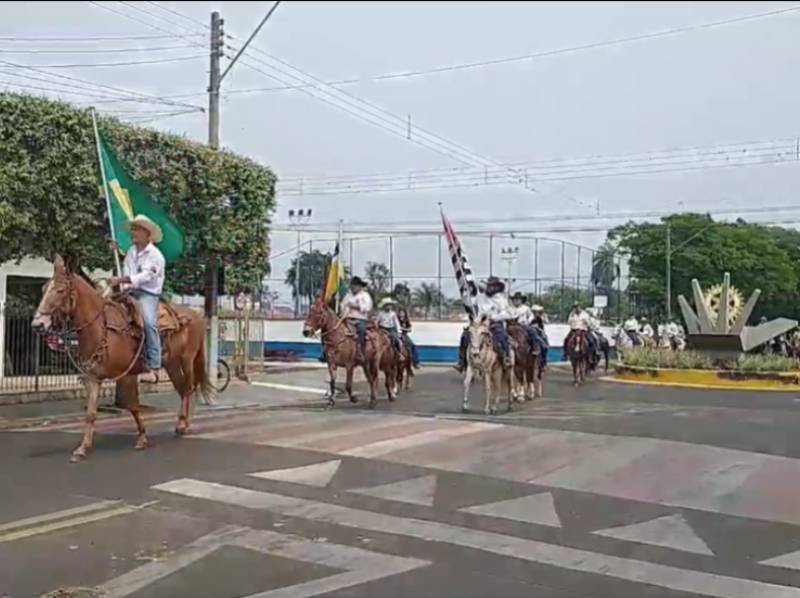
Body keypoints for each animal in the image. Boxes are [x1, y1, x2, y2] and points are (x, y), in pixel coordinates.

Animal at [31, 254, 212, 464]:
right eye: (44, 289)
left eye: (60, 290)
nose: (37, 324)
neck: (102, 328)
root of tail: (196, 314)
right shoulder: (93, 378)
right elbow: (91, 413)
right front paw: (82, 449)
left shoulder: (126, 375)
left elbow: (132, 406)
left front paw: (142, 438)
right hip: (172, 364)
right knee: (182, 390)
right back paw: (180, 424)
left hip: (187, 360)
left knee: (190, 389)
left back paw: (186, 425)